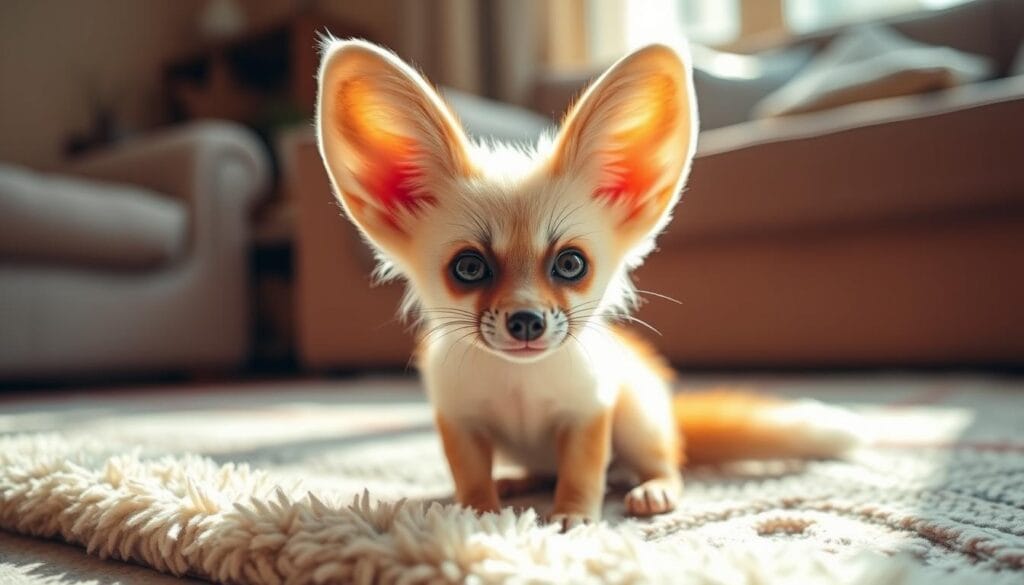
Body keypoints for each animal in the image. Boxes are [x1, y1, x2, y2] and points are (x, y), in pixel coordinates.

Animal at [315, 39, 860, 527]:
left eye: (571, 264)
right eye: (469, 268)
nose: (527, 321)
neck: (521, 386)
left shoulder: (589, 412)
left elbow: (582, 472)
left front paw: (573, 518)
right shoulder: (459, 419)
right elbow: (469, 476)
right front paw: (479, 515)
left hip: (637, 418)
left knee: (667, 462)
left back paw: (654, 489)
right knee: (544, 470)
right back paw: (517, 482)